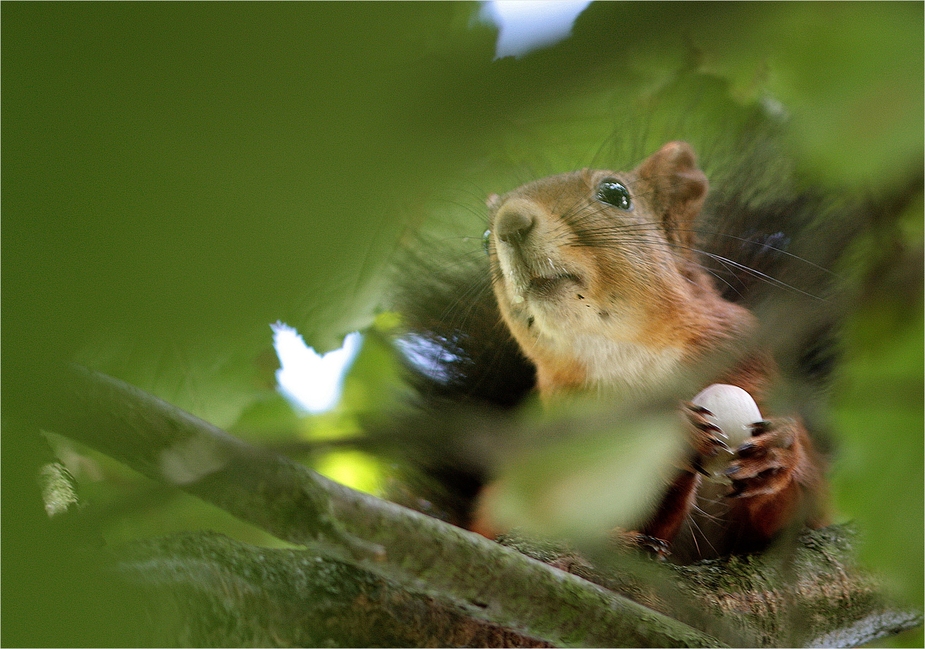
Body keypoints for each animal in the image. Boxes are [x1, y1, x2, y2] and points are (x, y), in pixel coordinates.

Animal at [390, 140, 832, 560]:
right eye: (485, 241)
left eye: (615, 194)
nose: (510, 224)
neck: (626, 351)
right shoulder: (568, 422)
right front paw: (674, 433)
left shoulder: (747, 359)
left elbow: (799, 519)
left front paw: (779, 453)